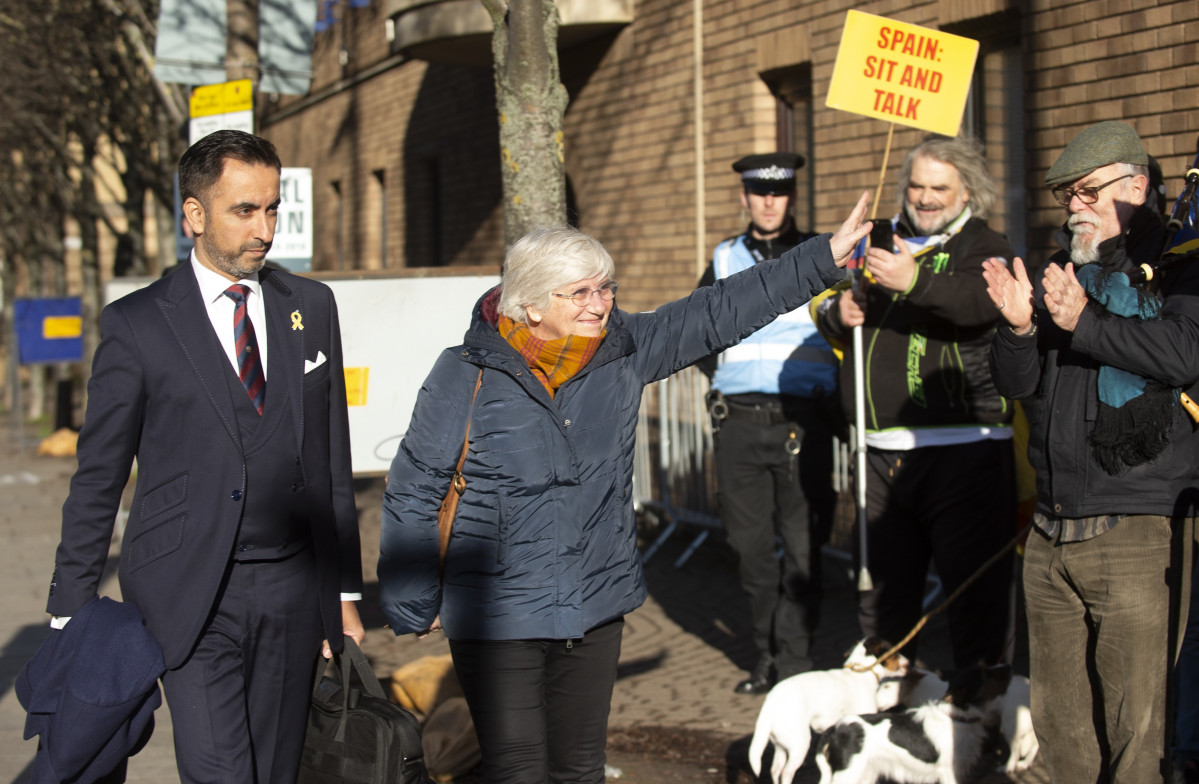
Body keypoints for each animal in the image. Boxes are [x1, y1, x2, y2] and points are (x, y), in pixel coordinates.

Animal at [748, 637, 906, 784]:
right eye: (894, 652)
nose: (908, 663)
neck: (860, 672)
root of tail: (770, 703)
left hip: (780, 745)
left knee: (775, 770)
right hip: (799, 745)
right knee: (786, 773)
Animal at [815, 661, 1011, 784]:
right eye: (986, 674)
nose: (1008, 666)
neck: (957, 716)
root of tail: (834, 729)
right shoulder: (949, 772)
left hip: (865, 775)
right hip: (848, 774)